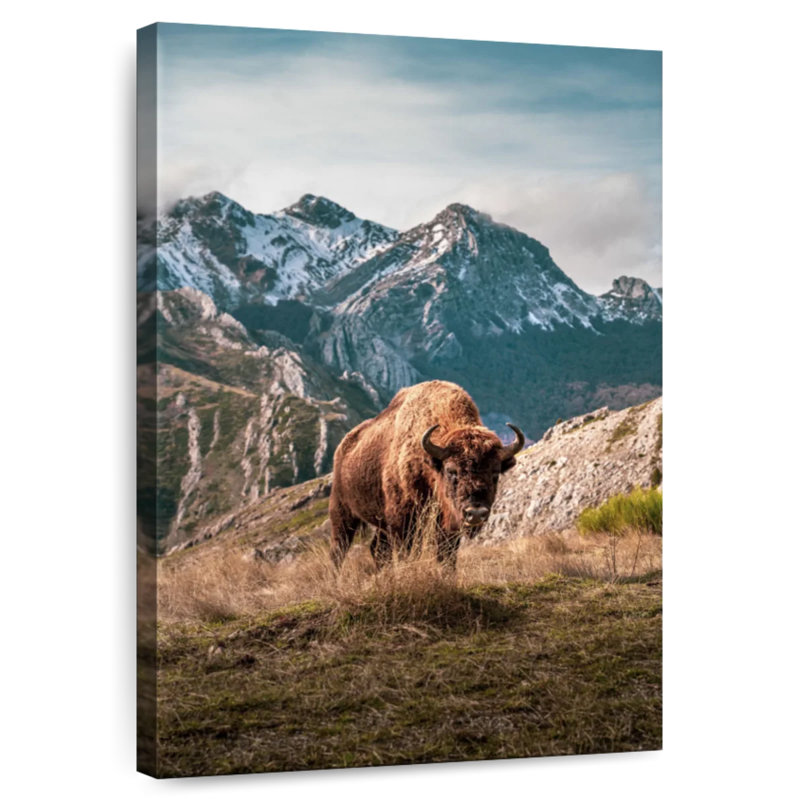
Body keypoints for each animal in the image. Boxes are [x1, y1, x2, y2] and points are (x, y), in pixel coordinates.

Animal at [329, 380, 525, 569]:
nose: (475, 513)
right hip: (342, 511)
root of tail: (342, 447)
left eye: (495, 473)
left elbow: (447, 557)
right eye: (451, 471)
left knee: (377, 549)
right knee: (339, 550)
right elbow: (407, 554)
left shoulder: (447, 526)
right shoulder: (402, 522)